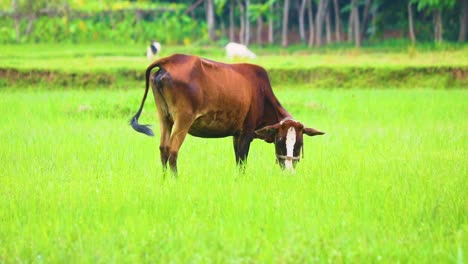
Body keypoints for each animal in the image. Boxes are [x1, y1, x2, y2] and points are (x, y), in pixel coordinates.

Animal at [130, 54, 324, 173]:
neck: (262, 94)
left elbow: (237, 160)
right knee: (173, 151)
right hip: (183, 119)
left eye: (299, 144)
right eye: (281, 141)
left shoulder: (236, 135)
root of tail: (168, 61)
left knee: (163, 149)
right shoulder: (247, 133)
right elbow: (242, 163)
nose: (290, 171)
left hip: (165, 118)